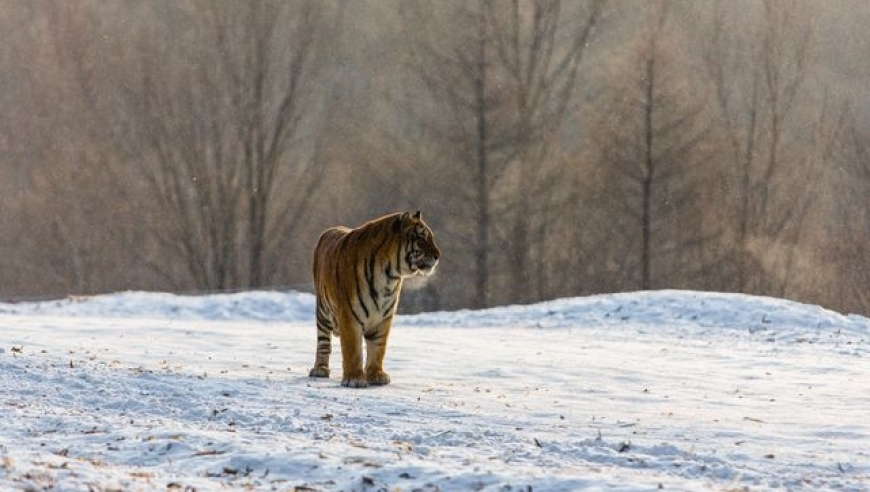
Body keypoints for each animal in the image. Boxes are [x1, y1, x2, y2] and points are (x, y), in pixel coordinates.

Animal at [308, 211, 442, 388]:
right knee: (323, 342)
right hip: (323, 312)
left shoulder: (384, 316)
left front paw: (376, 375)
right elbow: (353, 350)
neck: (389, 276)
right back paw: (320, 369)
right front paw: (354, 378)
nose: (438, 255)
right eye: (421, 238)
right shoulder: (349, 316)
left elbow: (378, 348)